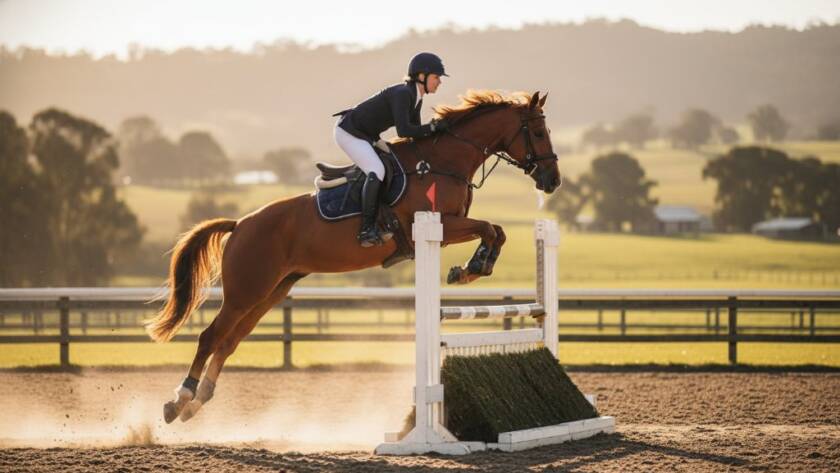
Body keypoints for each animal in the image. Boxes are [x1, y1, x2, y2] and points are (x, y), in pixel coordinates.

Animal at [146, 90, 562, 423]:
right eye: (539, 132)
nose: (552, 180)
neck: (442, 161)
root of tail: (241, 224)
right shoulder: (437, 224)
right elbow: (490, 228)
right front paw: (470, 268)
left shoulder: (449, 228)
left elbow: (497, 230)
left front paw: (474, 267)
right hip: (245, 291)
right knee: (209, 337)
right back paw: (178, 400)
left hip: (271, 292)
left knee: (229, 342)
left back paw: (196, 402)